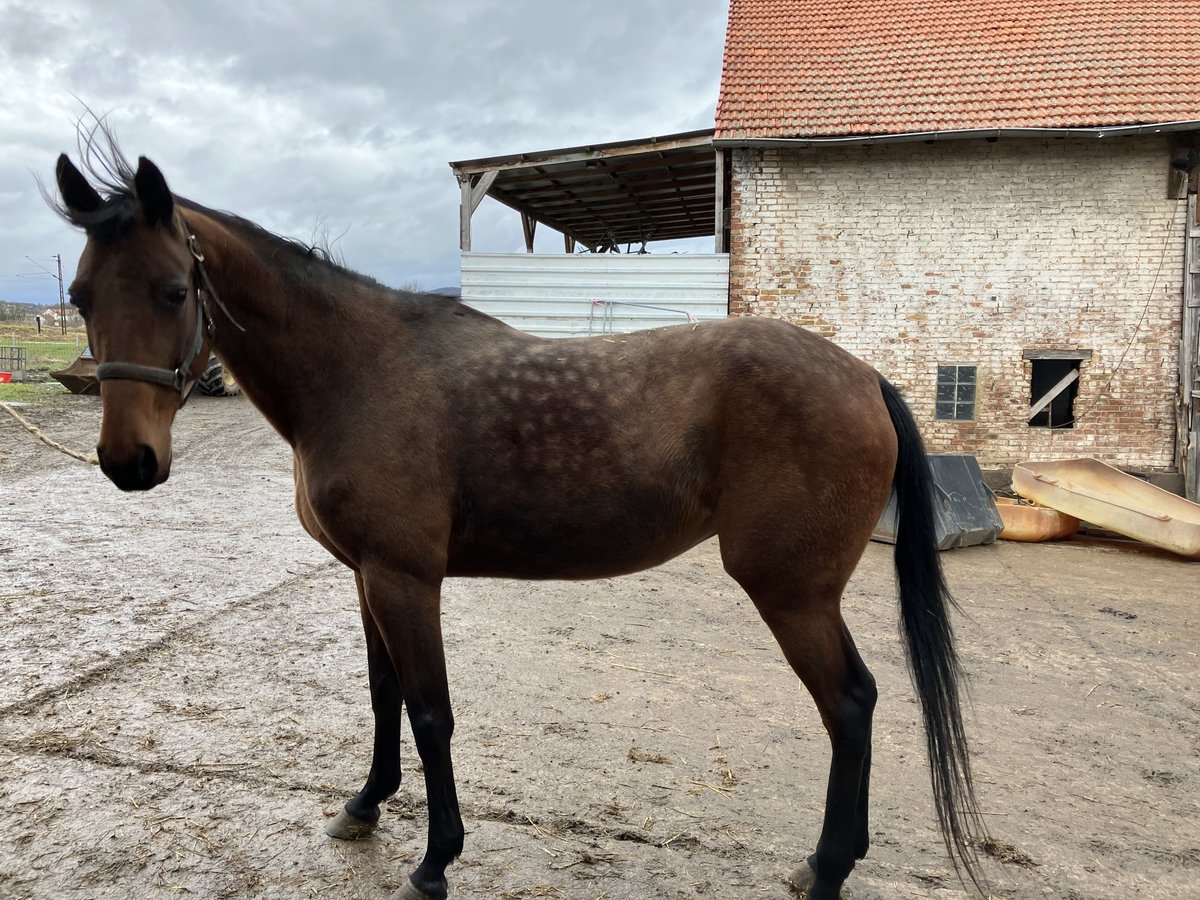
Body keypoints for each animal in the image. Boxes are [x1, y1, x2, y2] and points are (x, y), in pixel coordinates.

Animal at [51, 142, 984, 900]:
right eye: (79, 294)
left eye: (175, 290)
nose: (128, 461)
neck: (360, 373)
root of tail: (863, 375)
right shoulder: (365, 576)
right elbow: (384, 694)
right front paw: (365, 805)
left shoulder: (405, 578)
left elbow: (430, 711)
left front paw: (435, 862)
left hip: (792, 593)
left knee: (851, 704)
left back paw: (825, 868)